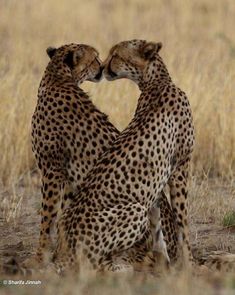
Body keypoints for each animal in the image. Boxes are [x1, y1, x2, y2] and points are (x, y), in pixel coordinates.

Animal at [51, 38, 195, 274]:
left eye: (116, 55)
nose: (102, 67)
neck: (156, 83)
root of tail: (64, 249)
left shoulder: (155, 185)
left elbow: (157, 226)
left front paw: (164, 264)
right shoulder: (180, 168)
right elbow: (182, 223)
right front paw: (190, 264)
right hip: (133, 209)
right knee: (89, 264)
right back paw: (122, 270)